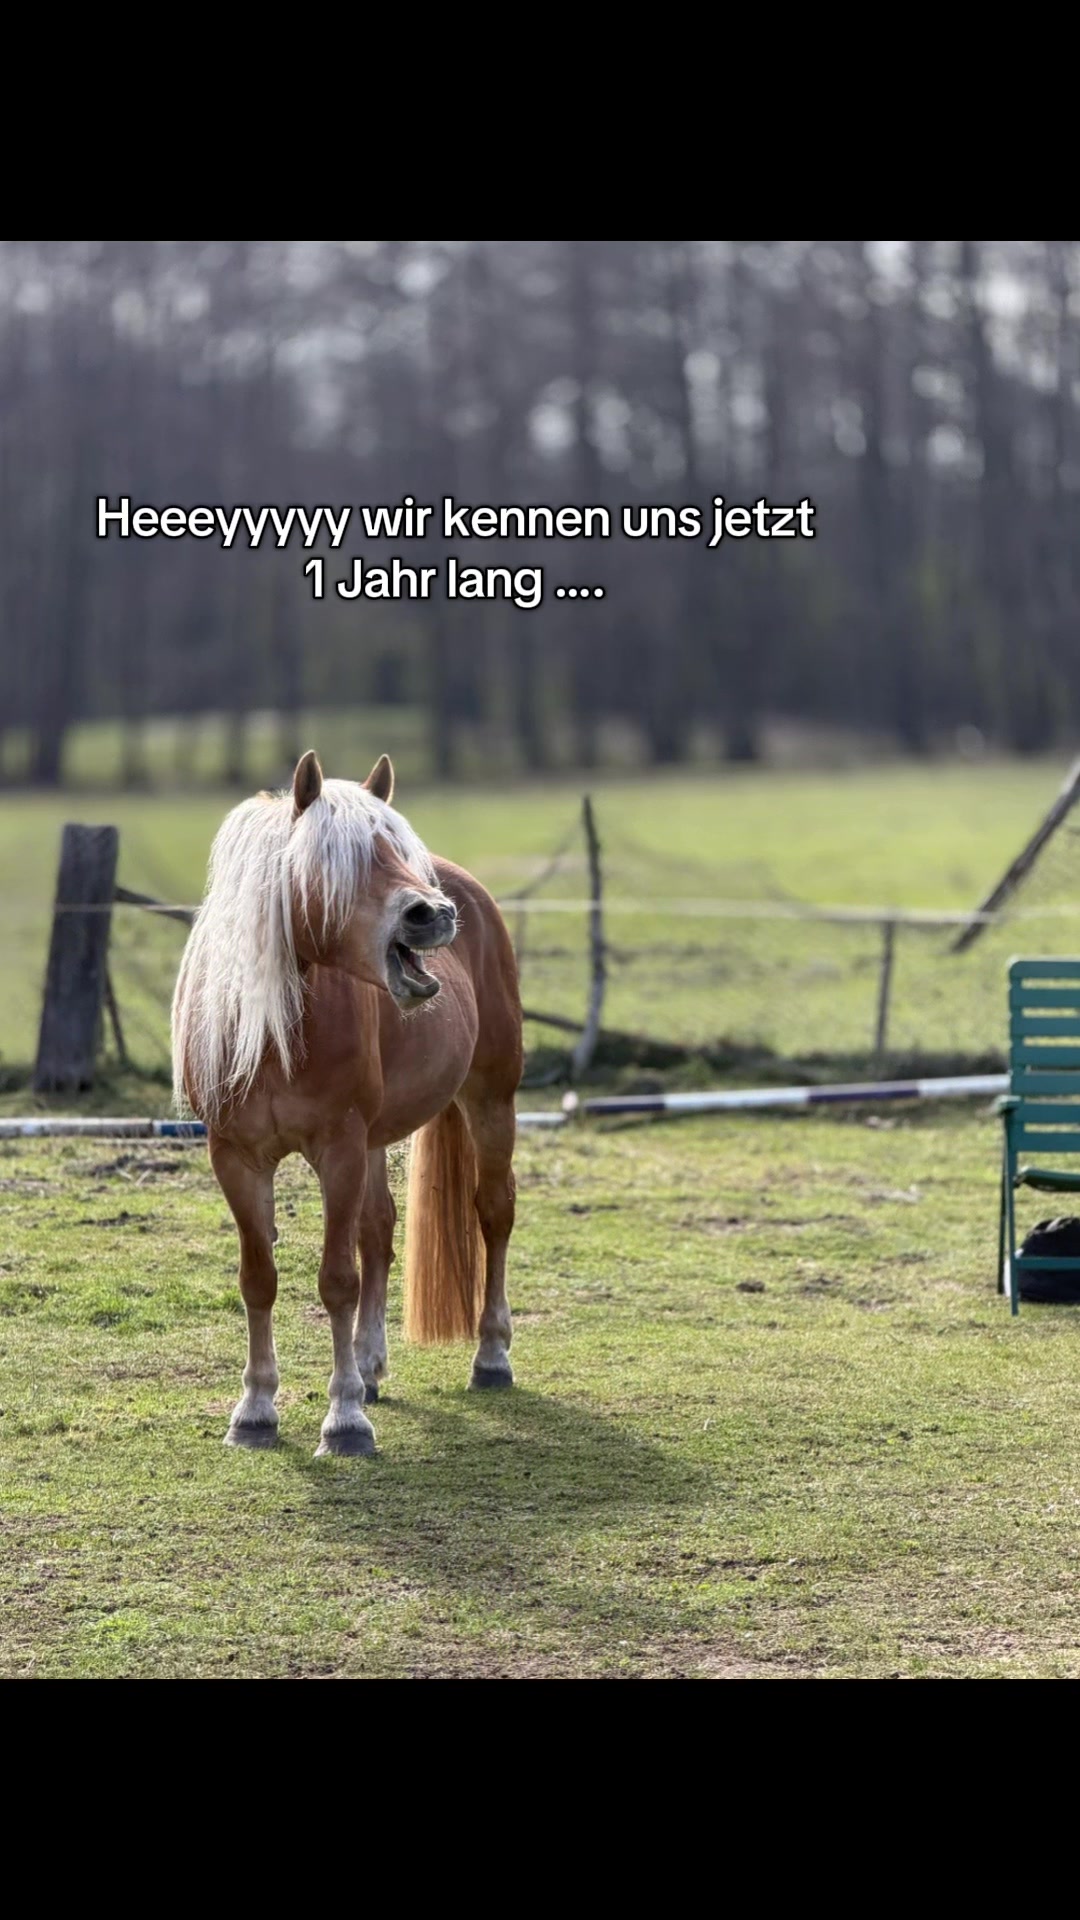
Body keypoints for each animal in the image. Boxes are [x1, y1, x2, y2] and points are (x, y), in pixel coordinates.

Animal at [171, 751, 523, 1458]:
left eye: (396, 850)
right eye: (346, 862)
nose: (433, 914)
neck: (273, 1030)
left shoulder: (338, 1149)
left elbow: (337, 1279)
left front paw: (345, 1420)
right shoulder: (237, 1158)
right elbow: (259, 1277)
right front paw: (255, 1411)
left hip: (490, 1101)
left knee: (493, 1213)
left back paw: (490, 1357)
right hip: (376, 1139)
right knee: (379, 1231)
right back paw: (370, 1367)